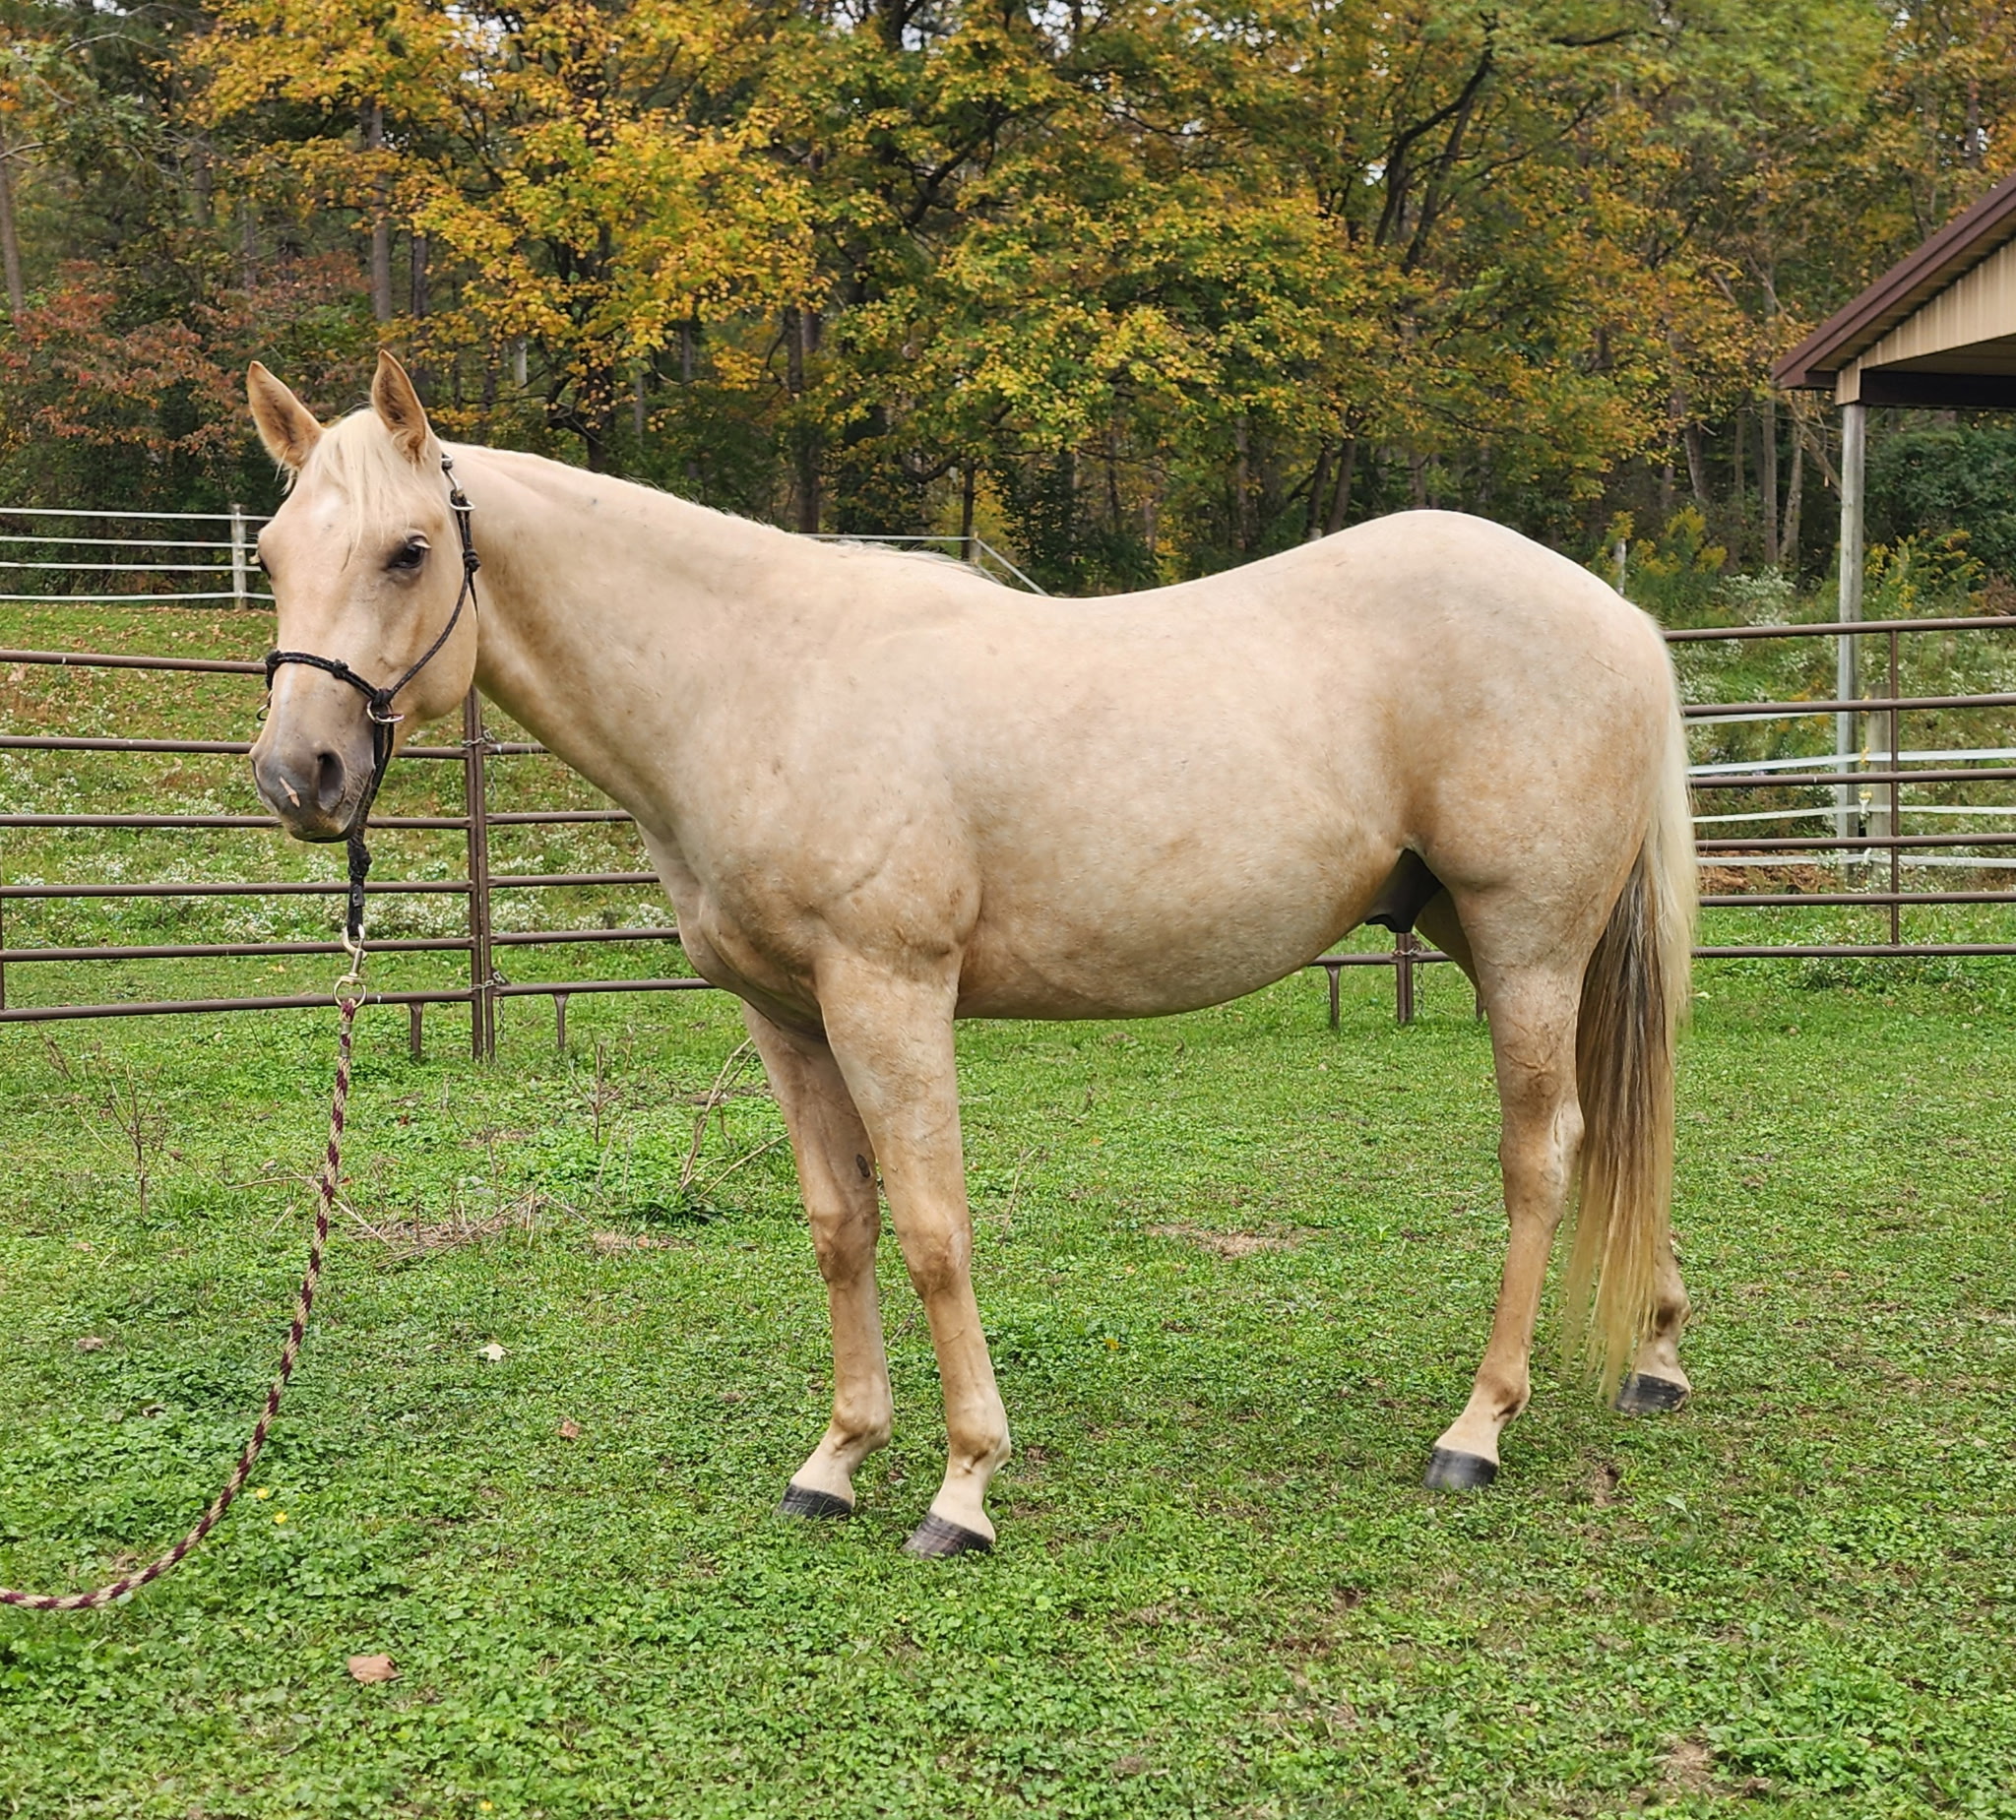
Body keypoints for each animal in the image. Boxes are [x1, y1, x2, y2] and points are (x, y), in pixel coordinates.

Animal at [246, 351, 1697, 1558]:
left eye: (409, 551)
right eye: (267, 551)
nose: (297, 774)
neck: (761, 680)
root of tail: (1620, 617)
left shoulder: (888, 995)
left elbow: (934, 1228)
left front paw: (962, 1485)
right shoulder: (787, 1015)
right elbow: (840, 1226)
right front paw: (836, 1460)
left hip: (1524, 941)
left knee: (1544, 1154)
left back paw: (1477, 1429)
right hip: (1493, 935)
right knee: (1621, 1127)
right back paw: (1655, 1356)